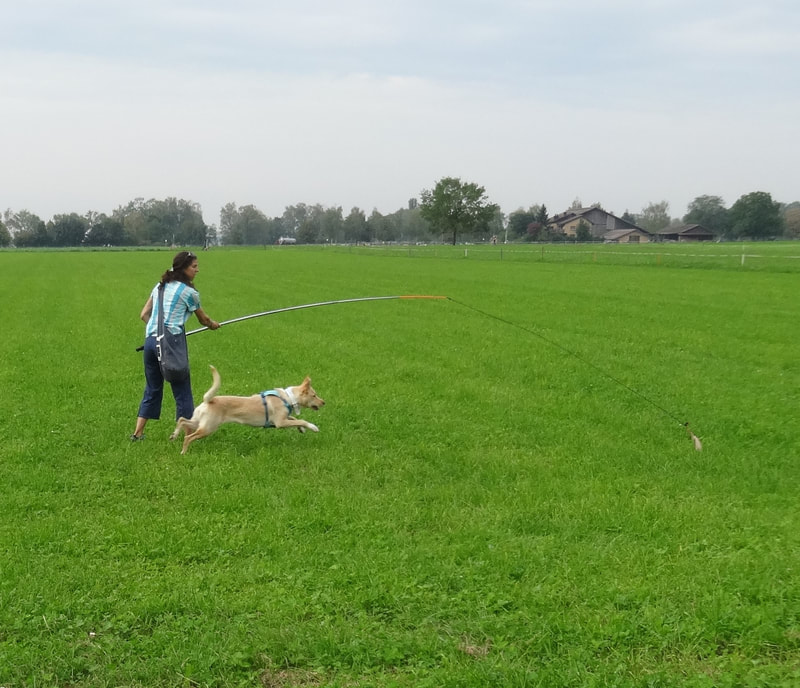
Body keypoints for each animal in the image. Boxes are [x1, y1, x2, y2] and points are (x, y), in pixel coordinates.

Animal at [170, 362, 324, 454]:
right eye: (314, 395)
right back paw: (183, 452)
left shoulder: (281, 419)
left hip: (200, 422)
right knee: (188, 437)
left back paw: (174, 435)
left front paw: (301, 429)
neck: (287, 397)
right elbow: (300, 419)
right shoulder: (280, 422)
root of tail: (209, 400)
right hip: (208, 428)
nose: (324, 402)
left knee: (182, 420)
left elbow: (293, 418)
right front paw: (312, 427)